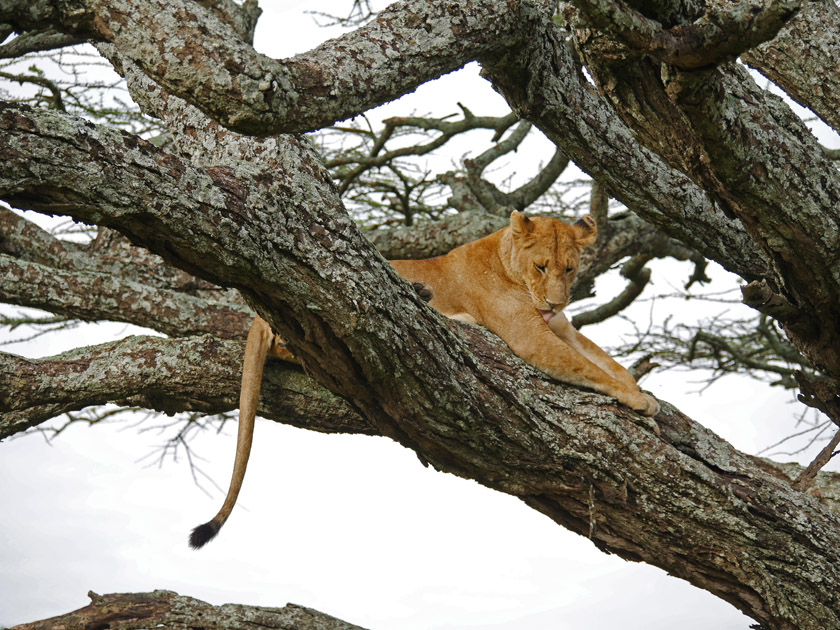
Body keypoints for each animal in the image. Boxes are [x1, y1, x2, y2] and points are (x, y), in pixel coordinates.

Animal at [189, 211, 656, 548]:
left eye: (570, 269)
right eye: (541, 267)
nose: (557, 301)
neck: (507, 260)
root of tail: (255, 315)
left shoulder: (559, 327)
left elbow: (607, 362)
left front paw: (640, 390)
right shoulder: (529, 335)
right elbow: (588, 368)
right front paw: (637, 400)